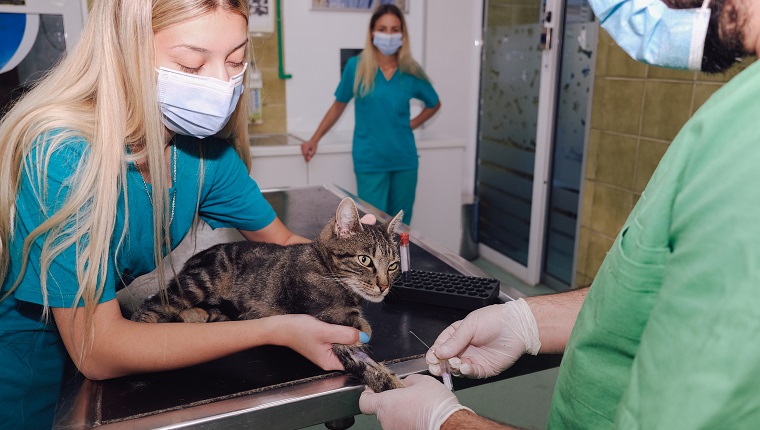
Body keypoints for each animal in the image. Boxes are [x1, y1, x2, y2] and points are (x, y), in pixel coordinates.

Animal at [132, 198, 404, 394]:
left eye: (393, 265)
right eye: (365, 260)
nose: (384, 286)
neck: (326, 268)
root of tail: (191, 261)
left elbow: (373, 368)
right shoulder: (333, 324)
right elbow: (360, 341)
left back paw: (195, 315)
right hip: (201, 280)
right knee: (153, 305)